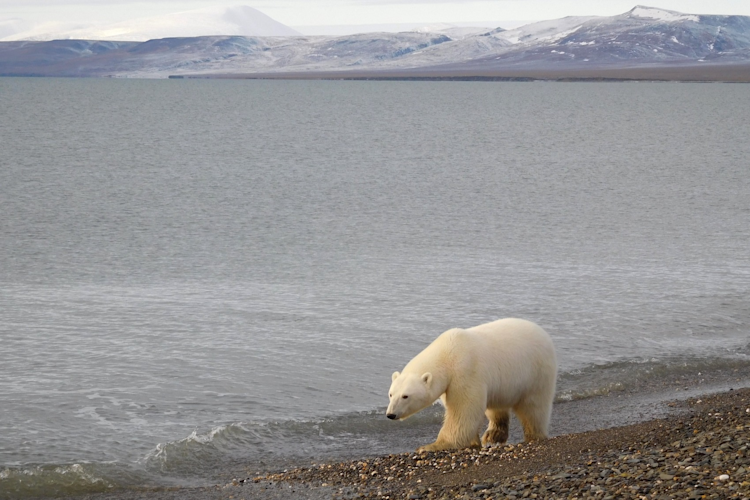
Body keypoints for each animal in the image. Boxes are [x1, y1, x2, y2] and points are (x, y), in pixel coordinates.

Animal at [386, 318, 557, 452]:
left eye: (406, 396)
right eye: (391, 394)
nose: (390, 414)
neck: (447, 353)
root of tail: (544, 333)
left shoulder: (465, 371)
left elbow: (463, 409)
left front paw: (430, 446)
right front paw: (473, 442)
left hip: (537, 372)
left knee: (533, 408)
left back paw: (534, 435)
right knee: (496, 406)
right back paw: (493, 435)